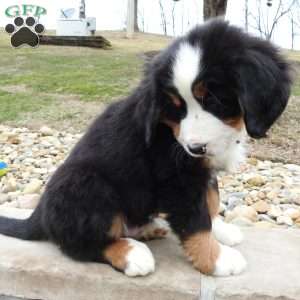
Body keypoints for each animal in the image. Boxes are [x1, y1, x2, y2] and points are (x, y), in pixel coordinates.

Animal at [0, 18, 290, 276]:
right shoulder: (177, 178)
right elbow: (196, 222)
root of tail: (39, 214)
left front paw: (221, 230)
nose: (195, 148)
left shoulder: (201, 171)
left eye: (215, 100)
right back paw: (131, 253)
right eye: (175, 107)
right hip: (87, 183)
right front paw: (217, 260)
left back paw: (147, 229)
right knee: (79, 245)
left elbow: (211, 199)